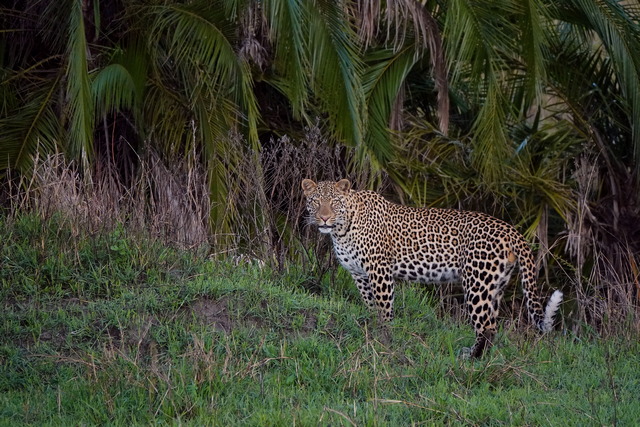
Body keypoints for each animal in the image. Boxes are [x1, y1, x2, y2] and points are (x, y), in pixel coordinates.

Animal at [302, 178, 563, 358]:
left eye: (334, 202)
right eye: (315, 201)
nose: (324, 218)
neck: (342, 229)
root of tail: (511, 230)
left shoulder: (380, 271)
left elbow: (384, 311)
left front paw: (384, 340)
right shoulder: (360, 275)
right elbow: (371, 308)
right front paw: (372, 332)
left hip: (477, 284)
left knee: (486, 326)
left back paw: (471, 359)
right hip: (495, 286)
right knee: (493, 325)